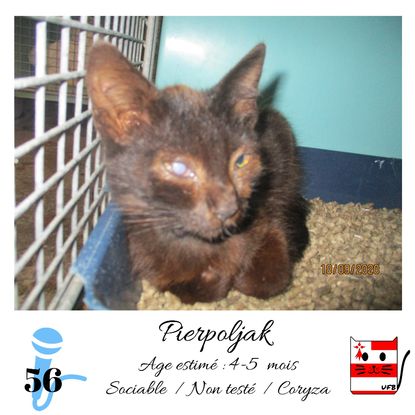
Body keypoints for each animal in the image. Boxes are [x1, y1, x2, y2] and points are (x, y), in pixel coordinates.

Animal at [86, 41, 309, 305]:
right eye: (179, 168)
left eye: (240, 161)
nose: (228, 208)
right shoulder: (141, 248)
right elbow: (189, 285)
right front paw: (218, 277)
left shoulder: (267, 222)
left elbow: (263, 279)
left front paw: (235, 275)